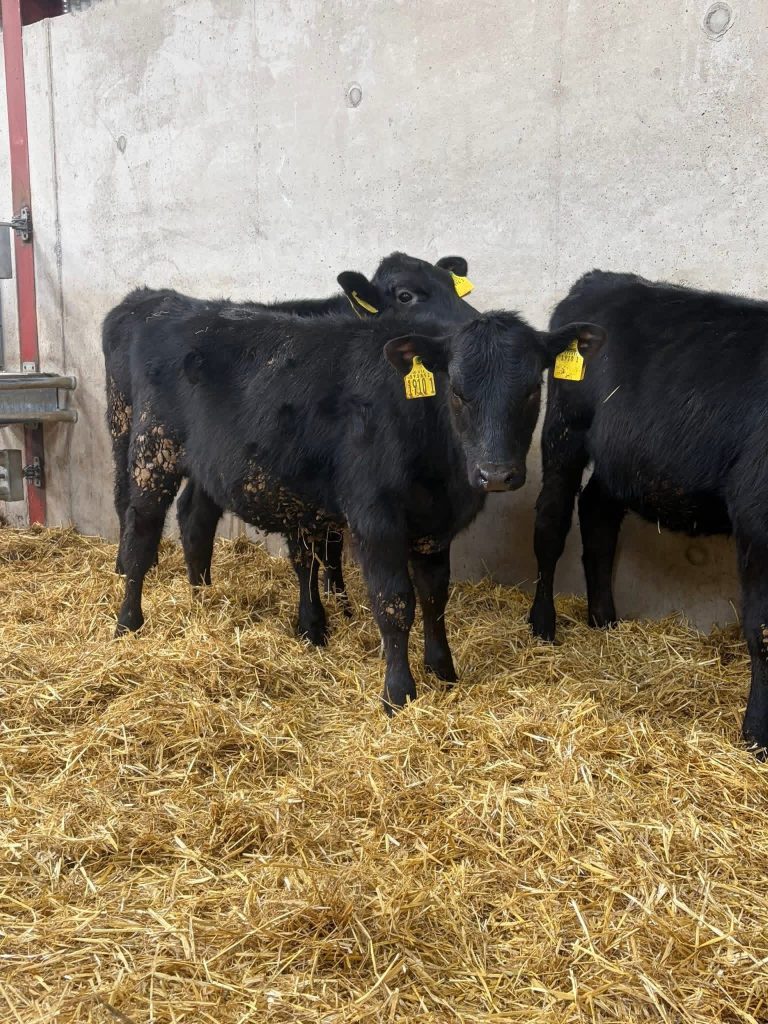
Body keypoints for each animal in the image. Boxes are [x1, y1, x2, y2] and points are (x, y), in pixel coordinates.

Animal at [103, 252, 477, 603]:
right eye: (405, 295)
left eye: (452, 285)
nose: (468, 324)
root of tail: (145, 297)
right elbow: (326, 543)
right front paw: (335, 597)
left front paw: (337, 596)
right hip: (125, 422)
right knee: (125, 496)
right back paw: (125, 568)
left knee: (194, 512)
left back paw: (201, 590)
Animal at [113, 306, 601, 712]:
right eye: (459, 392)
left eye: (531, 391)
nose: (496, 474)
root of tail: (175, 313)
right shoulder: (375, 520)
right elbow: (395, 602)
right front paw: (398, 693)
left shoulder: (435, 526)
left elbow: (434, 596)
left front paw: (443, 671)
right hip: (152, 451)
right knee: (140, 533)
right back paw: (127, 624)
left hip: (206, 464)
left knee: (195, 521)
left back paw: (201, 600)